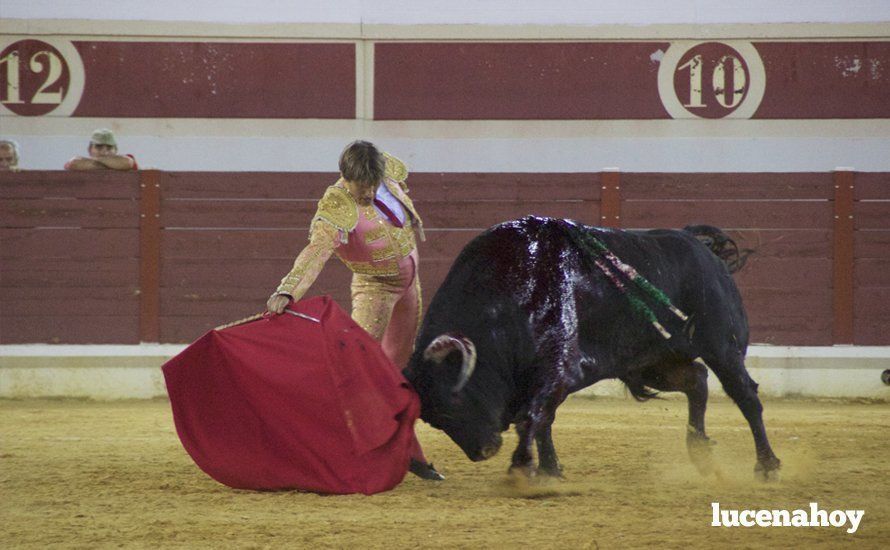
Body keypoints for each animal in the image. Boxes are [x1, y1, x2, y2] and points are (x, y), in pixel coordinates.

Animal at [406, 218, 780, 480]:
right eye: (433, 419)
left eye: (455, 398)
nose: (483, 451)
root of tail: (703, 249)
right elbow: (542, 421)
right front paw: (550, 471)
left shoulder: (558, 370)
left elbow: (533, 417)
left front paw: (522, 470)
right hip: (650, 363)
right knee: (697, 380)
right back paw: (701, 455)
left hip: (723, 347)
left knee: (745, 395)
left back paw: (767, 466)